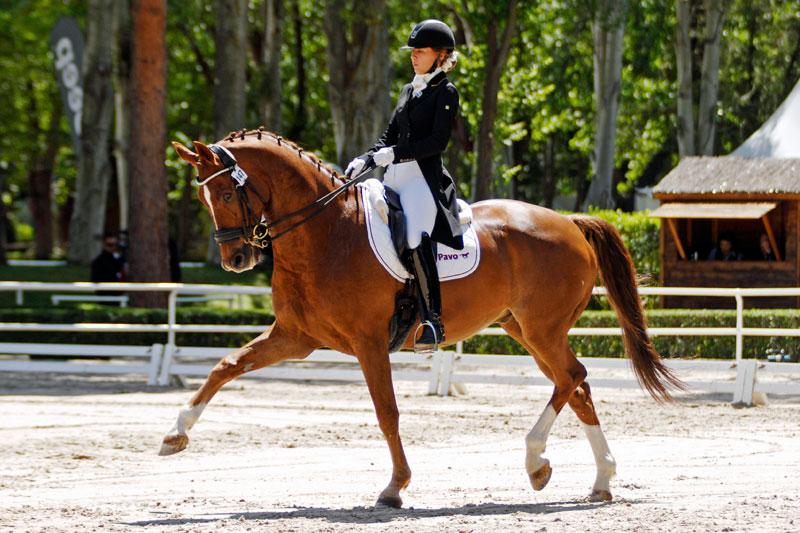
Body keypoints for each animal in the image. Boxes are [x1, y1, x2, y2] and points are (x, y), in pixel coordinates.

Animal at [166, 130, 680, 508]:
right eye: (204, 199)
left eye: (227, 191)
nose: (235, 259)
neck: (327, 232)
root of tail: (569, 222)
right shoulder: (295, 337)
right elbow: (226, 366)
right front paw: (175, 435)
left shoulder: (369, 343)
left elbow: (387, 412)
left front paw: (394, 488)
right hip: (525, 330)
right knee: (576, 387)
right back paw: (598, 480)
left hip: (542, 329)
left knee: (573, 377)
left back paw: (537, 461)